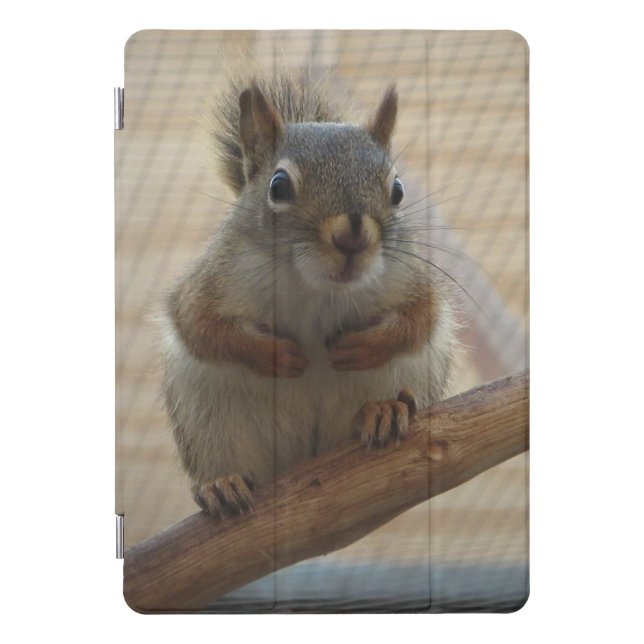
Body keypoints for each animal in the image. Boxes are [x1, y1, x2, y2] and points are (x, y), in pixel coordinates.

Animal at [161, 70, 456, 517]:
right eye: (279, 186)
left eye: (398, 190)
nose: (352, 234)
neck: (317, 286)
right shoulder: (210, 283)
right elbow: (201, 327)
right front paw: (274, 355)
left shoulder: (409, 279)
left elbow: (421, 319)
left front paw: (364, 347)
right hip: (208, 420)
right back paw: (221, 483)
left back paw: (384, 410)